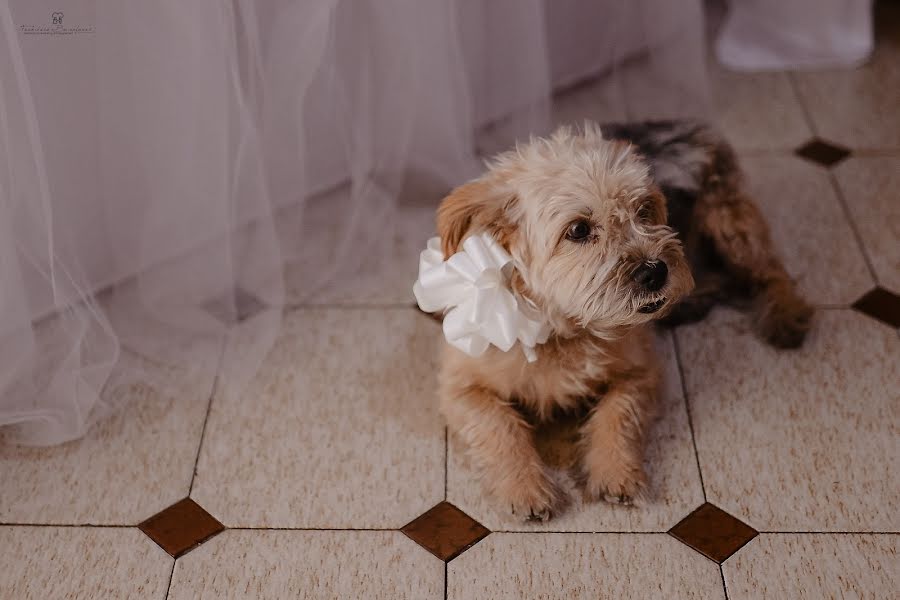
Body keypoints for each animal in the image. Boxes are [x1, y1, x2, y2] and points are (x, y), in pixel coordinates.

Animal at [426, 118, 812, 520]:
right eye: (579, 229)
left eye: (644, 210)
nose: (656, 272)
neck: (562, 328)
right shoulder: (461, 387)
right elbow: (498, 425)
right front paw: (525, 487)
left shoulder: (641, 373)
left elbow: (617, 416)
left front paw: (617, 474)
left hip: (731, 224)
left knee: (772, 271)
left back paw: (785, 316)